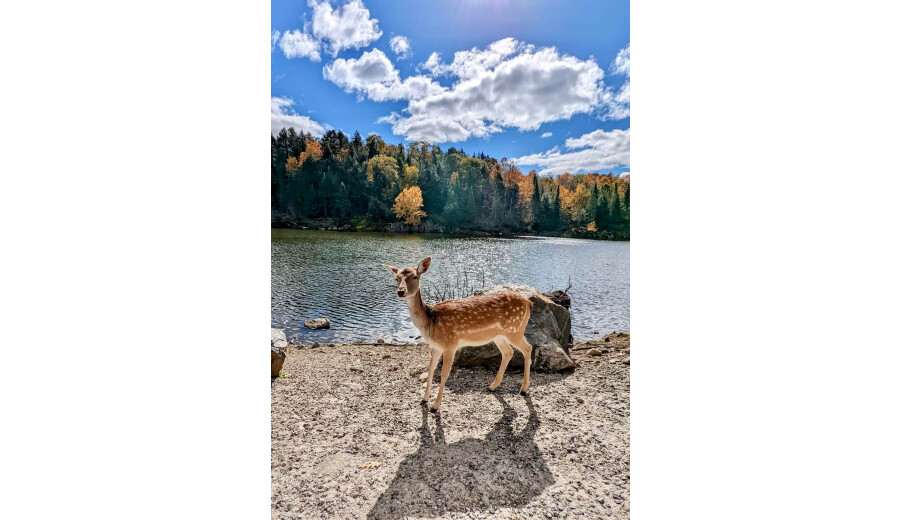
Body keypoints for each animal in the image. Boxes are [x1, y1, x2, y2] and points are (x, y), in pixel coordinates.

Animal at [382, 258, 536, 412]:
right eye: (396, 278)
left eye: (415, 277)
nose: (401, 291)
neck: (431, 321)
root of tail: (528, 303)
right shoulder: (436, 346)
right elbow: (431, 369)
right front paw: (424, 399)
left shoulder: (450, 344)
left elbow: (444, 373)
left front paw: (435, 406)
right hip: (499, 335)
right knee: (508, 352)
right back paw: (492, 386)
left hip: (514, 330)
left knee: (527, 348)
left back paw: (523, 389)